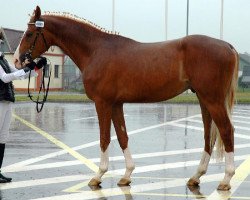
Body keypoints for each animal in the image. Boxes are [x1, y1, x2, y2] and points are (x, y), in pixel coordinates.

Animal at [14, 6, 238, 191]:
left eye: (30, 33)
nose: (17, 60)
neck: (95, 50)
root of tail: (227, 46)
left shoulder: (102, 103)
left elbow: (105, 138)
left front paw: (98, 175)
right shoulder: (116, 104)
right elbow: (122, 136)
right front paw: (127, 175)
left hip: (212, 100)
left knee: (226, 130)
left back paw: (226, 179)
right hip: (204, 99)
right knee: (209, 134)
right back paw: (196, 177)